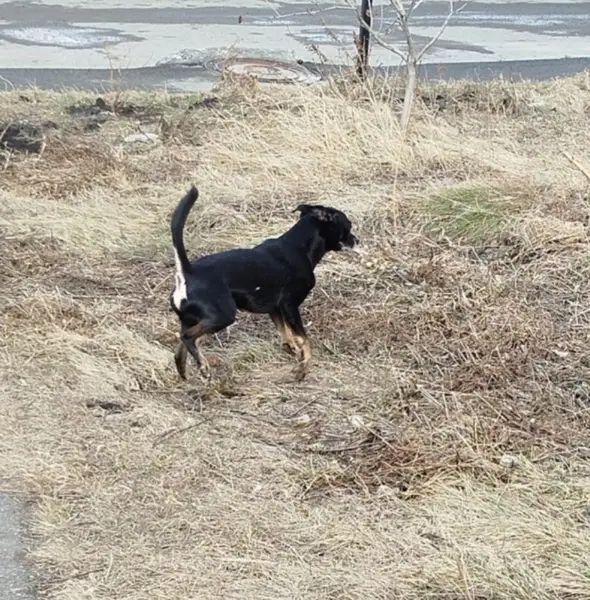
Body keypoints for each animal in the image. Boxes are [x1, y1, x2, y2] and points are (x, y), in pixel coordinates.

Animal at [170, 186, 359, 381]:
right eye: (348, 226)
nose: (357, 240)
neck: (299, 247)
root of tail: (187, 272)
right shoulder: (289, 306)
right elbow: (305, 340)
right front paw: (302, 368)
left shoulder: (275, 310)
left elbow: (288, 335)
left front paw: (295, 351)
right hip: (222, 316)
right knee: (188, 337)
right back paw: (203, 366)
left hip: (193, 319)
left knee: (180, 348)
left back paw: (185, 370)